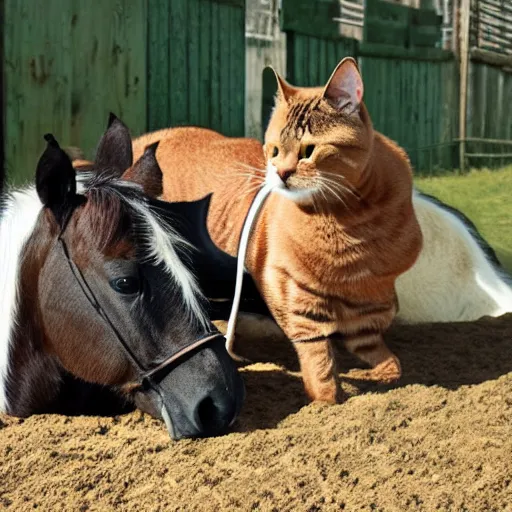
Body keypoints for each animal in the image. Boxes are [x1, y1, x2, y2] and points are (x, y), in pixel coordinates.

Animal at [133, 59, 424, 404]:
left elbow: (386, 358)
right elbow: (319, 359)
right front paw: (326, 399)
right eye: (273, 151)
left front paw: (375, 374)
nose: (282, 172)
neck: (353, 222)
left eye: (309, 150)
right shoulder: (292, 291)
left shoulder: (370, 304)